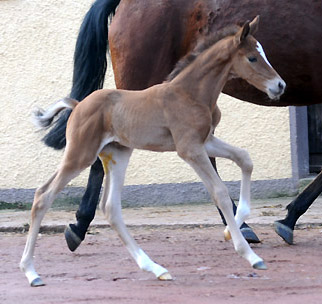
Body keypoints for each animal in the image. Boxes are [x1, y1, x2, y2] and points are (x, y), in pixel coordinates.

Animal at [21, 16, 286, 286]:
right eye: (252, 58)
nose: (280, 85)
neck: (191, 93)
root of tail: (77, 105)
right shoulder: (189, 149)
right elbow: (220, 192)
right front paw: (249, 254)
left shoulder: (206, 141)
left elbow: (245, 158)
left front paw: (233, 228)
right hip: (80, 154)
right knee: (43, 196)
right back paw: (31, 272)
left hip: (117, 155)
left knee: (111, 208)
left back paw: (156, 268)